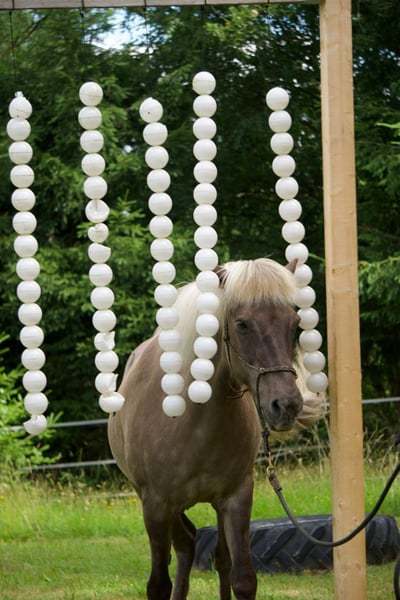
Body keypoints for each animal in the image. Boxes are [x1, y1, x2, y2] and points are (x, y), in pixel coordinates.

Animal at [108, 257, 323, 600]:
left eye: (293, 323)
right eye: (242, 324)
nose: (287, 405)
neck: (190, 420)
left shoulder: (236, 497)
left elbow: (242, 578)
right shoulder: (155, 505)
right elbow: (158, 584)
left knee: (214, 555)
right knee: (185, 546)